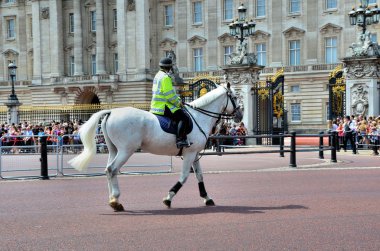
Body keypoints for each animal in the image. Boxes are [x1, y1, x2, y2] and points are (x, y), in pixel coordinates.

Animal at [68, 83, 242, 211]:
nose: (240, 116)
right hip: (126, 150)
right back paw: (115, 201)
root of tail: (111, 111)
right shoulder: (189, 154)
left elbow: (199, 176)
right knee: (112, 169)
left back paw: (113, 199)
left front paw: (207, 198)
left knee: (108, 170)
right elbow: (184, 176)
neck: (199, 116)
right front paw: (168, 198)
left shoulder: (194, 154)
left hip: (114, 150)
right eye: (234, 96)